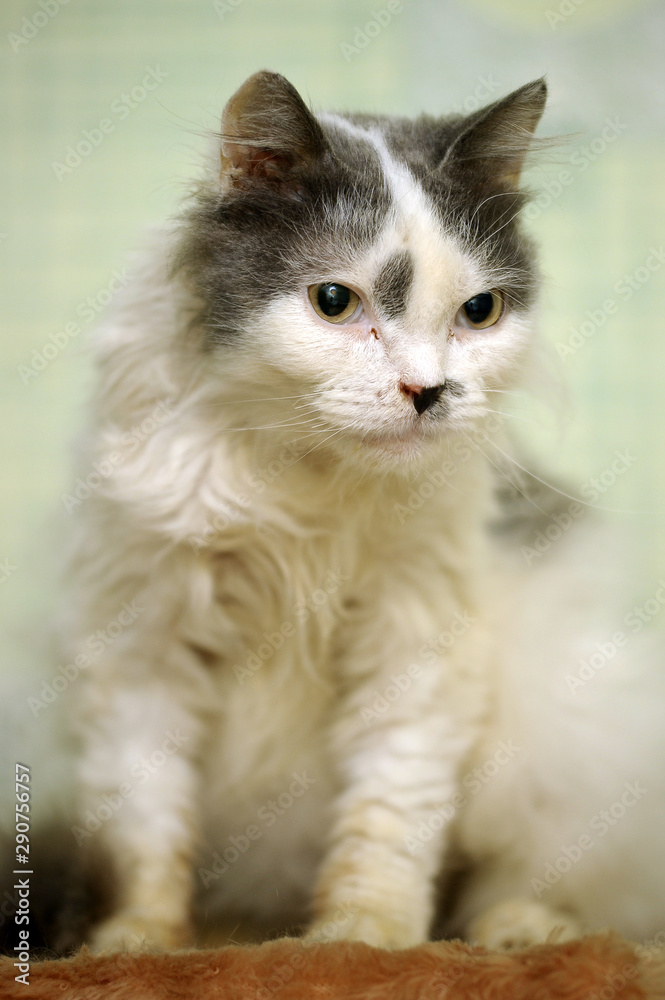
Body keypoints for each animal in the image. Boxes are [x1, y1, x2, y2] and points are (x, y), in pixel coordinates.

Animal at [57, 72, 664, 952]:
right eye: (335, 301)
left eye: (478, 313)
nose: (427, 391)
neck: (301, 495)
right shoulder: (143, 645)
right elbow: (147, 829)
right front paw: (138, 944)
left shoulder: (416, 643)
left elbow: (388, 819)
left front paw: (360, 938)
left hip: (569, 710)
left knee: (534, 876)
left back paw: (520, 931)